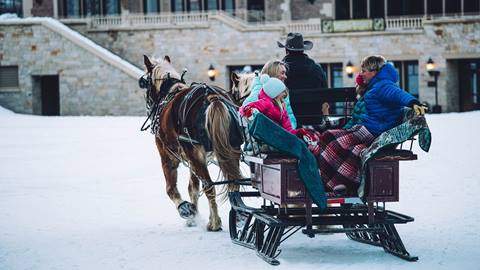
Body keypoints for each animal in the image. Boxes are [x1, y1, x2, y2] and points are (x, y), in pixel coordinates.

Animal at [141, 54, 242, 230]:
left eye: (145, 82)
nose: (148, 107)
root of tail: (211, 96)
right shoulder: (194, 159)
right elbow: (193, 186)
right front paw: (193, 216)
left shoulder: (168, 156)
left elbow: (171, 189)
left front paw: (186, 210)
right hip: (229, 150)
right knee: (233, 184)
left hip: (194, 153)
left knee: (209, 186)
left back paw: (214, 223)